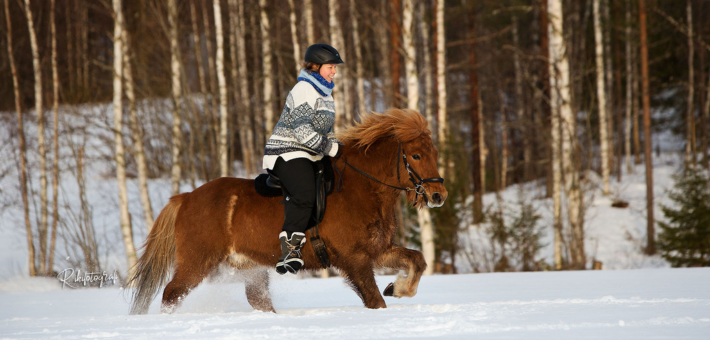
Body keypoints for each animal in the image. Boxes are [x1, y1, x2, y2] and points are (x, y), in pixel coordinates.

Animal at [127, 109, 448, 314]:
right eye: (416, 155)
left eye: (434, 153)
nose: (438, 195)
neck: (360, 188)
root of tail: (185, 198)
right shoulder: (354, 259)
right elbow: (375, 301)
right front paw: (393, 293)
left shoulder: (377, 250)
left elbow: (417, 261)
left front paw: (398, 288)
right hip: (197, 261)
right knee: (171, 294)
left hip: (250, 267)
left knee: (258, 301)